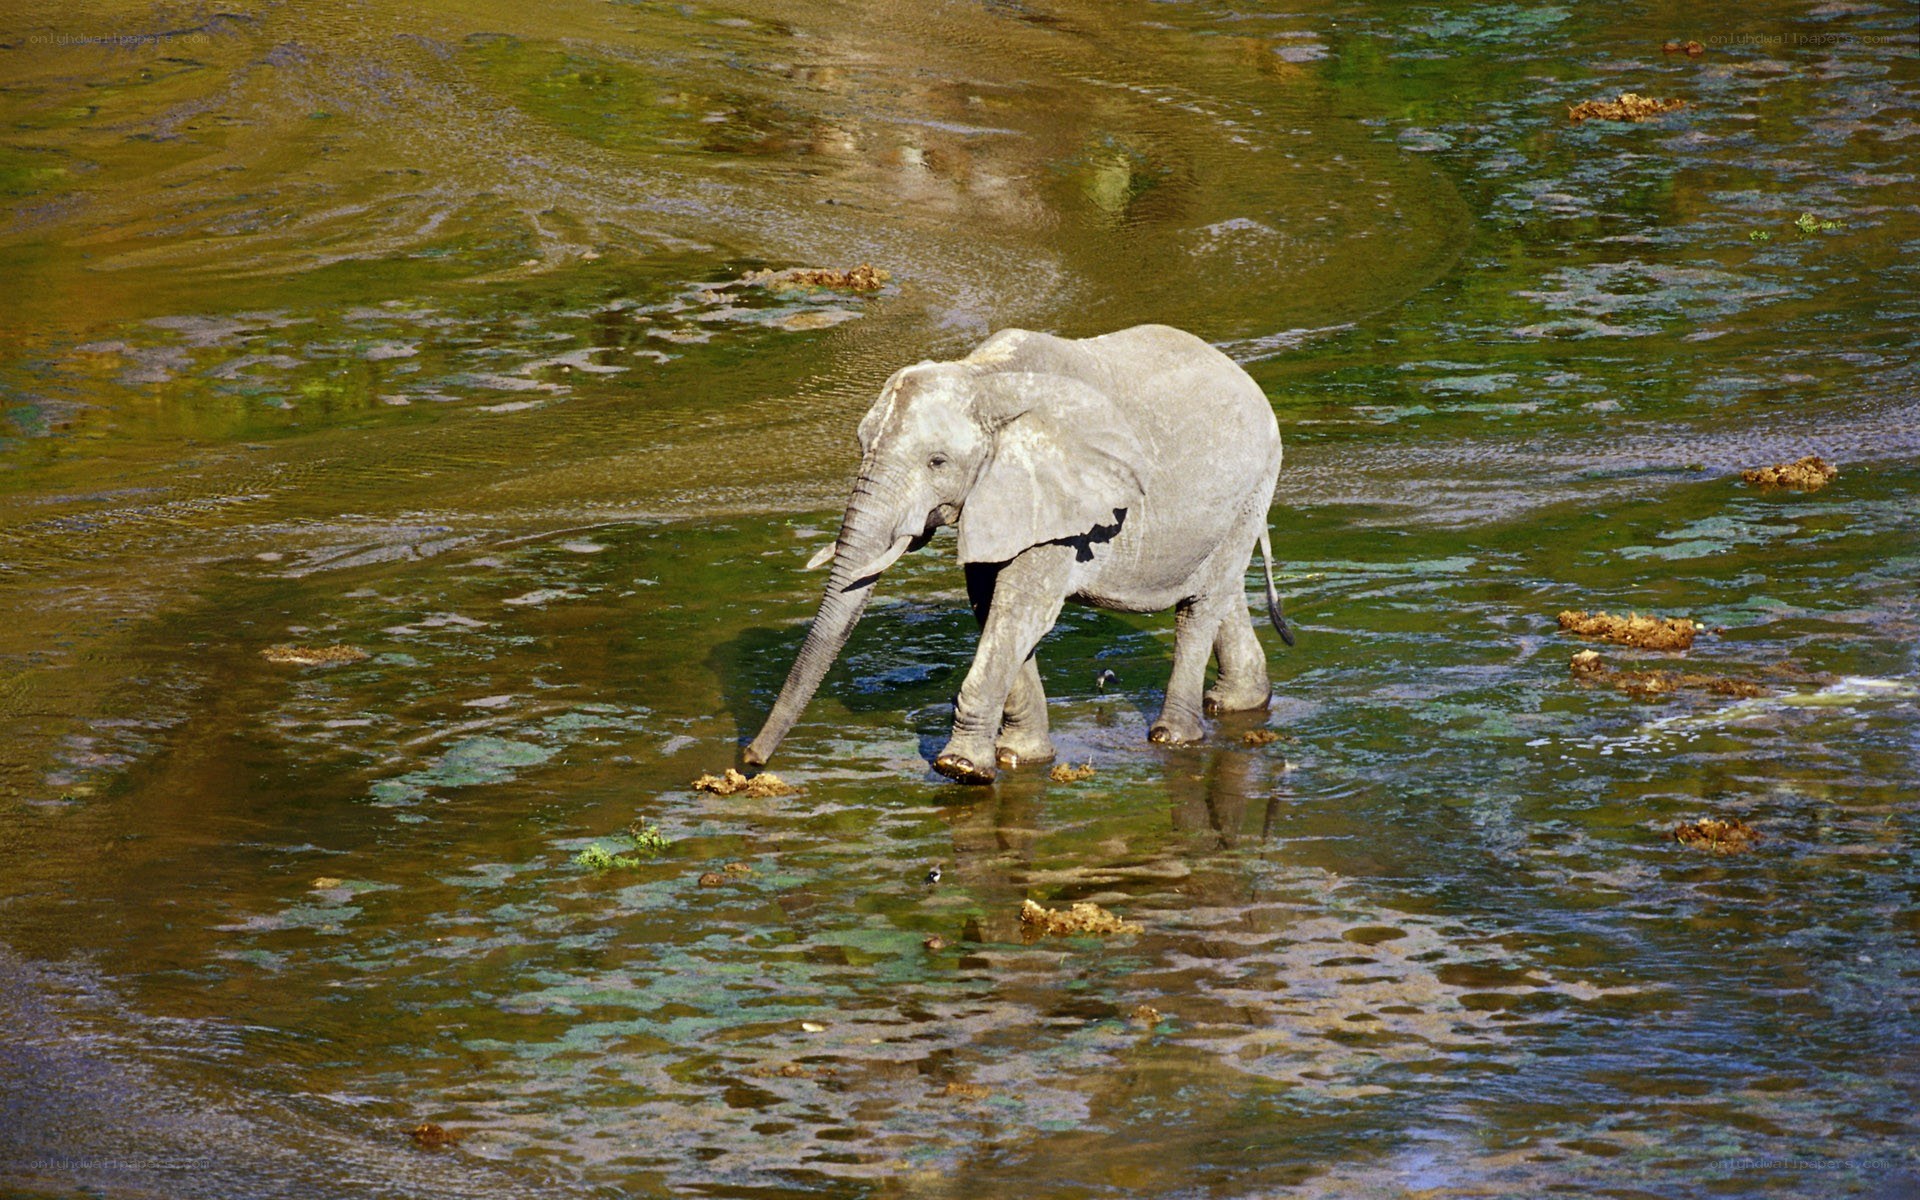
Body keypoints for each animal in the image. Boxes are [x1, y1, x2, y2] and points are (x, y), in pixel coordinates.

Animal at [742, 323, 1294, 784]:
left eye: (937, 462)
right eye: (861, 447)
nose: (750, 761)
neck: (984, 378)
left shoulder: (1061, 505)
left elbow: (1019, 610)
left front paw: (961, 768)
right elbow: (991, 606)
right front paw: (1017, 757)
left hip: (1255, 478)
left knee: (1199, 607)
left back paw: (1173, 737)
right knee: (1219, 591)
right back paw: (1239, 703)